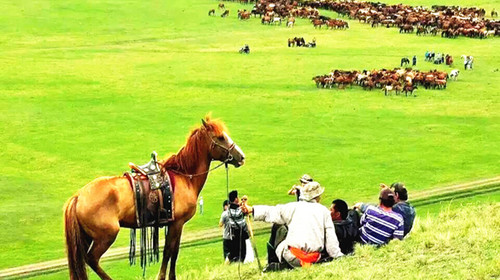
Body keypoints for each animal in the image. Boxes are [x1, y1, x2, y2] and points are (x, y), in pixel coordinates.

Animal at [63, 116, 247, 280]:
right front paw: (163, 276)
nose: (241, 156)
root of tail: (78, 196)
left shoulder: (176, 225)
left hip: (86, 237)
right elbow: (168, 251)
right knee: (92, 259)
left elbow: (174, 251)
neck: (184, 176)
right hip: (106, 235)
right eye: (221, 137)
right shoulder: (177, 223)